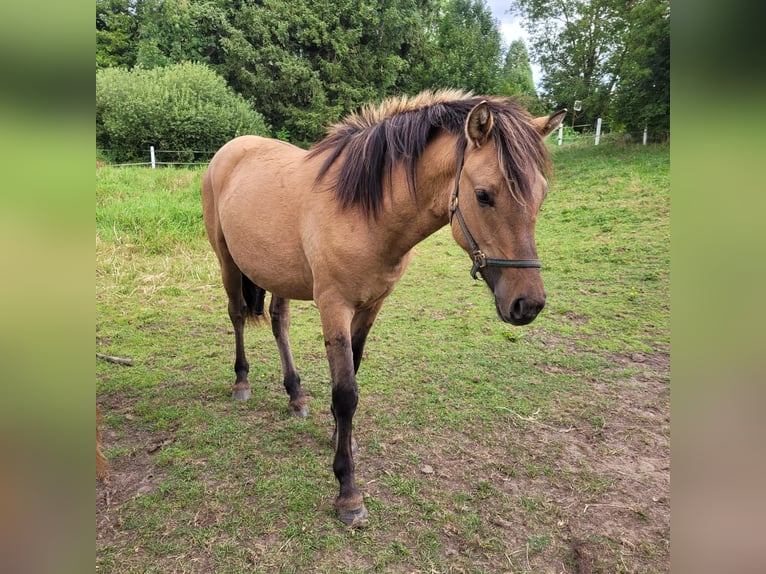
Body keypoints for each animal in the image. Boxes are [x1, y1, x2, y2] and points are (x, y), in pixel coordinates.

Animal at [202, 90, 565, 526]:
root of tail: (231, 149)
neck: (363, 212)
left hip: (277, 273)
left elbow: (353, 375)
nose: (528, 304)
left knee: (279, 322)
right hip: (226, 260)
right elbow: (346, 393)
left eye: (541, 195)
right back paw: (241, 382)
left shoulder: (371, 306)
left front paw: (342, 438)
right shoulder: (334, 307)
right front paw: (348, 491)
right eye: (484, 195)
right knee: (238, 315)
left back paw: (296, 395)